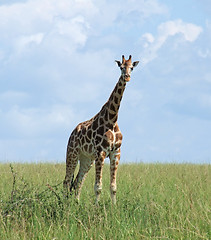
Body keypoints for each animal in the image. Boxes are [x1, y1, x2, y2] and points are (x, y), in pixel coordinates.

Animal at [63, 55, 139, 203]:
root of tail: (72, 132)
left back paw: (76, 204)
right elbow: (98, 186)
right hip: (72, 153)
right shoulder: (101, 152)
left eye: (132, 67)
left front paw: (114, 206)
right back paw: (63, 204)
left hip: (87, 159)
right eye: (121, 67)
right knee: (67, 181)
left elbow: (113, 186)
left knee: (78, 182)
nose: (127, 77)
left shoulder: (116, 152)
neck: (112, 120)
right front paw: (97, 207)